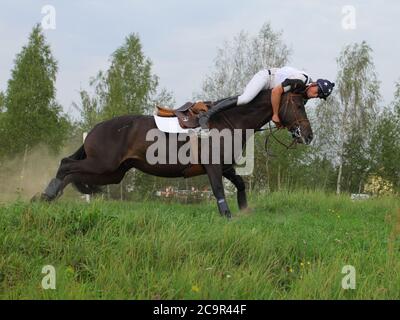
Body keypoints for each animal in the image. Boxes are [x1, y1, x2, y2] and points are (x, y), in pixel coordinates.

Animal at [36, 90, 312, 218]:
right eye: (299, 105)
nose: (308, 135)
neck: (228, 121)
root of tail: (95, 129)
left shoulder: (226, 167)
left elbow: (241, 184)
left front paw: (244, 210)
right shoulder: (213, 167)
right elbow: (218, 190)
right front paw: (227, 216)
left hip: (112, 173)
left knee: (73, 173)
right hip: (102, 164)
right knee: (66, 165)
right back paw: (44, 197)